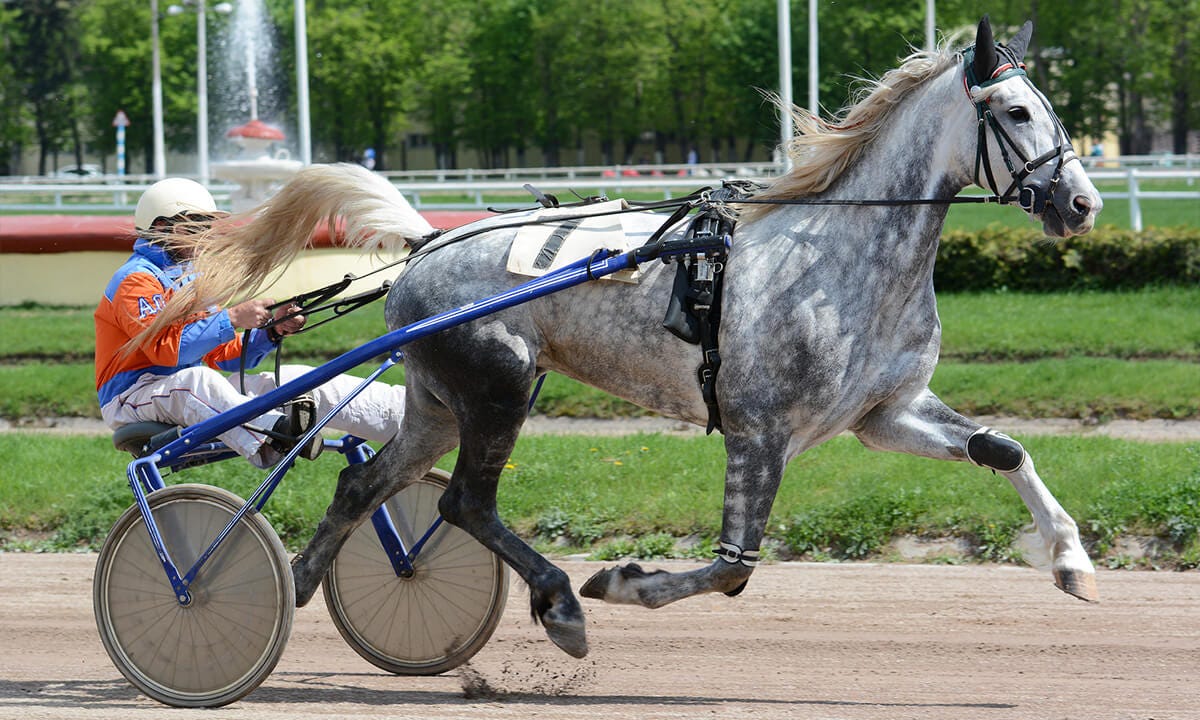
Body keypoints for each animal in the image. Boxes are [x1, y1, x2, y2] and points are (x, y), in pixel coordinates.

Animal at [145, 16, 1102, 660]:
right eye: (1015, 111)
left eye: (1050, 104)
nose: (1082, 202)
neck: (840, 253)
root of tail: (429, 243)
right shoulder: (760, 430)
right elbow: (733, 567)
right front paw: (621, 580)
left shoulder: (885, 413)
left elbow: (1007, 450)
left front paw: (1071, 559)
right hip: (497, 387)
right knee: (465, 505)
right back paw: (559, 603)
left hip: (440, 401)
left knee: (368, 486)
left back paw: (300, 580)